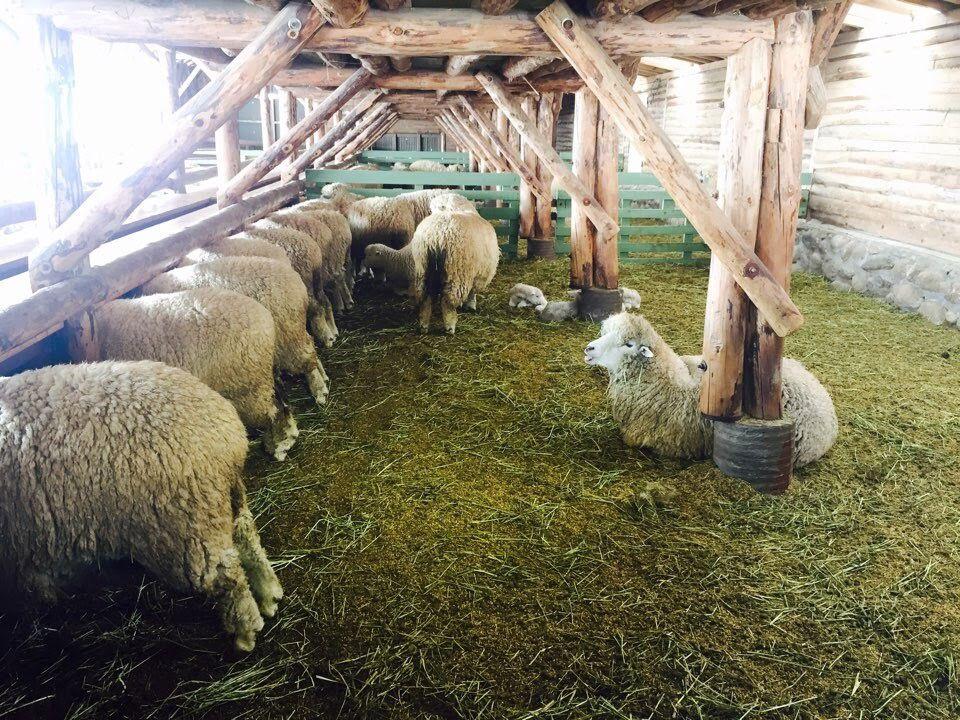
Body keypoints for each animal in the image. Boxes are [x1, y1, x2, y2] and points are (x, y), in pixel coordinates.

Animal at [0, 360, 282, 651]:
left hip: (187, 526)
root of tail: (229, 436)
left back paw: (246, 633)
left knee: (226, 577)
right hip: (224, 502)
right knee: (248, 538)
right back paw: (270, 593)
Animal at [142, 257, 329, 405]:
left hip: (288, 334)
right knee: (310, 346)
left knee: (306, 358)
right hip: (293, 330)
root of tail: (297, 284)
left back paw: (319, 390)